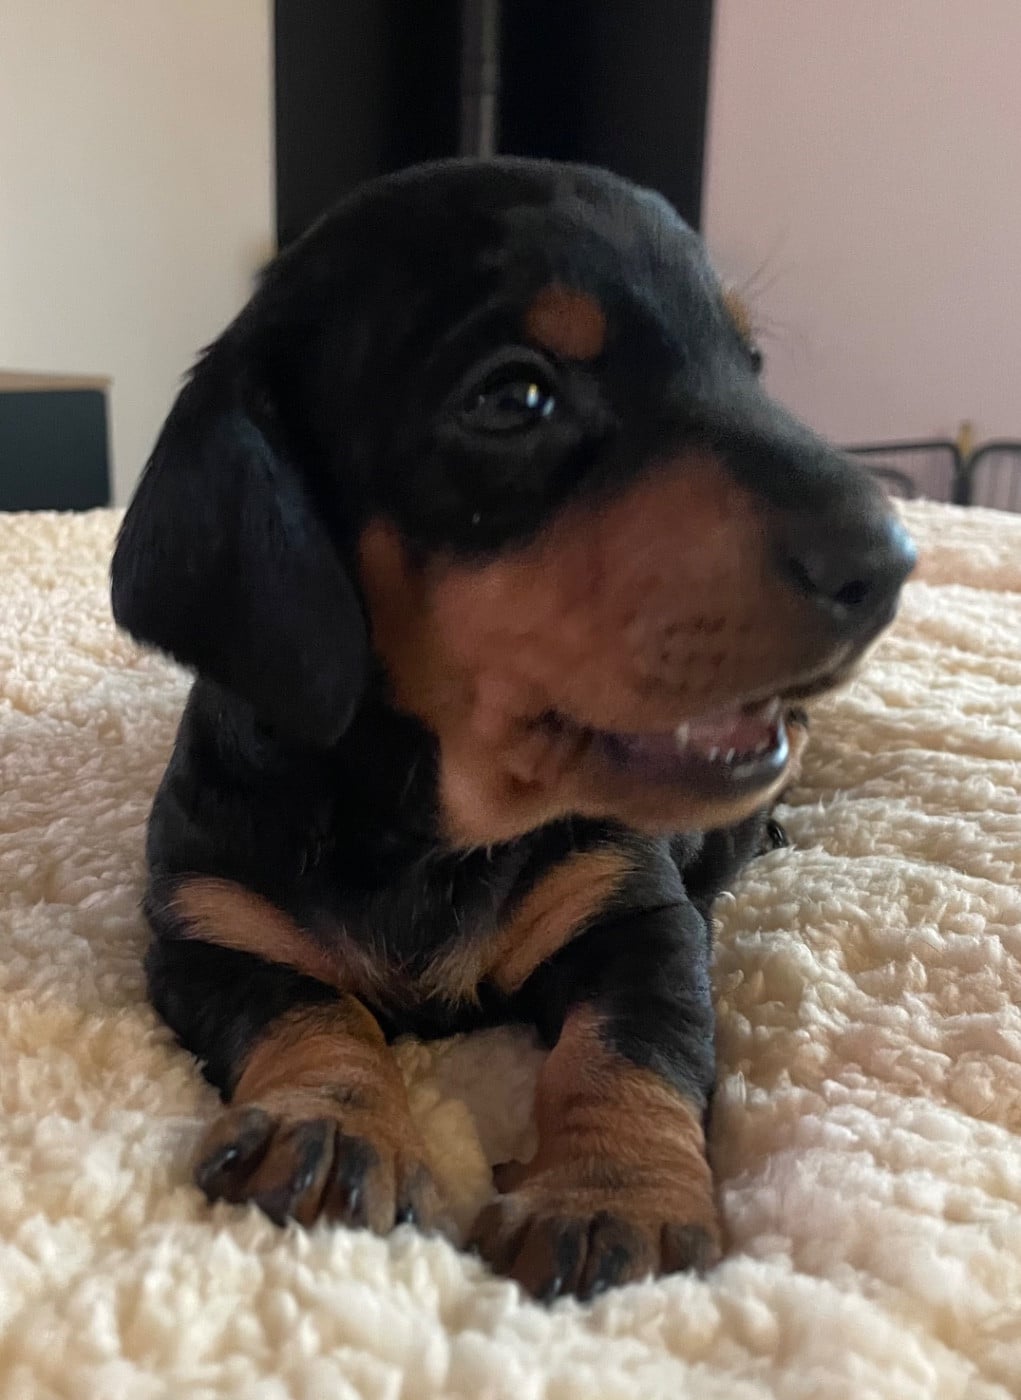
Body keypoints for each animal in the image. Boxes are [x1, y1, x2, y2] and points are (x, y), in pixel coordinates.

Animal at [110, 158, 915, 1302]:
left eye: (750, 365)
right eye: (512, 397)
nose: (888, 562)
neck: (425, 821)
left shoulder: (636, 917)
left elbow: (624, 1046)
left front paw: (609, 1191)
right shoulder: (209, 936)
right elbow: (309, 1010)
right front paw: (333, 1125)